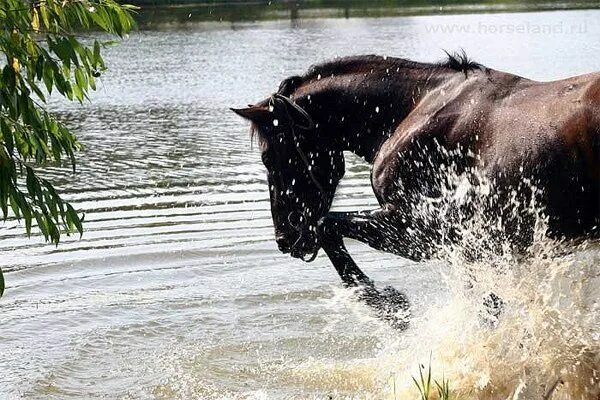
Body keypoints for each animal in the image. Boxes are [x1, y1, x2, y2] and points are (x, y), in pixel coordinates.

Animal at [233, 53, 600, 328]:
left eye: (269, 157)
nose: (285, 239)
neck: (411, 111)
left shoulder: (423, 231)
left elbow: (328, 227)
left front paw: (390, 307)